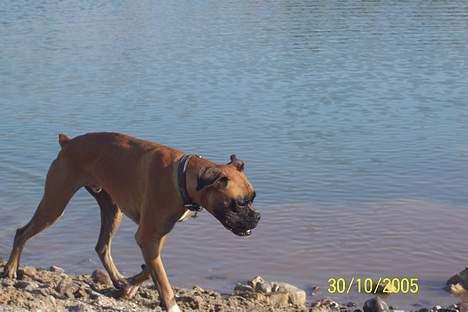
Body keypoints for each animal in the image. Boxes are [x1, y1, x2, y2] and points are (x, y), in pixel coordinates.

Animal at [1, 132, 260, 312]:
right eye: (239, 203)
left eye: (253, 199)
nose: (257, 217)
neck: (183, 176)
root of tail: (68, 142)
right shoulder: (148, 236)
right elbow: (161, 278)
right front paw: (171, 305)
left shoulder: (156, 235)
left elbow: (150, 269)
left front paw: (130, 286)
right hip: (55, 205)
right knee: (22, 232)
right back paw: (10, 270)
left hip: (112, 211)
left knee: (102, 247)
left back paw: (117, 280)